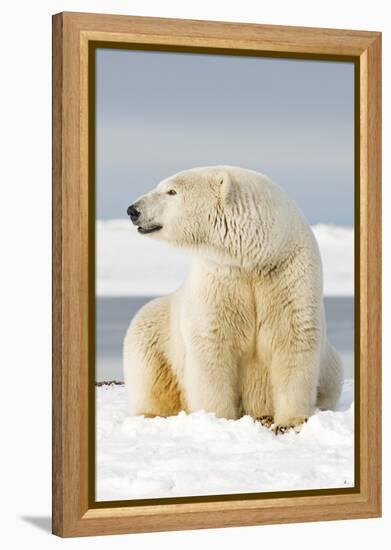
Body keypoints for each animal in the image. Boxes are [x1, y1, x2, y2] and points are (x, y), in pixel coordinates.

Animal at [123, 166, 344, 434]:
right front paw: (217, 419)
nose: (133, 210)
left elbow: (292, 338)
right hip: (154, 329)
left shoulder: (288, 274)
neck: (256, 257)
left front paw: (290, 421)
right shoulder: (220, 278)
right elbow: (213, 345)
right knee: (148, 371)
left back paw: (265, 416)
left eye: (171, 191)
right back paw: (152, 413)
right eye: (163, 186)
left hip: (332, 367)